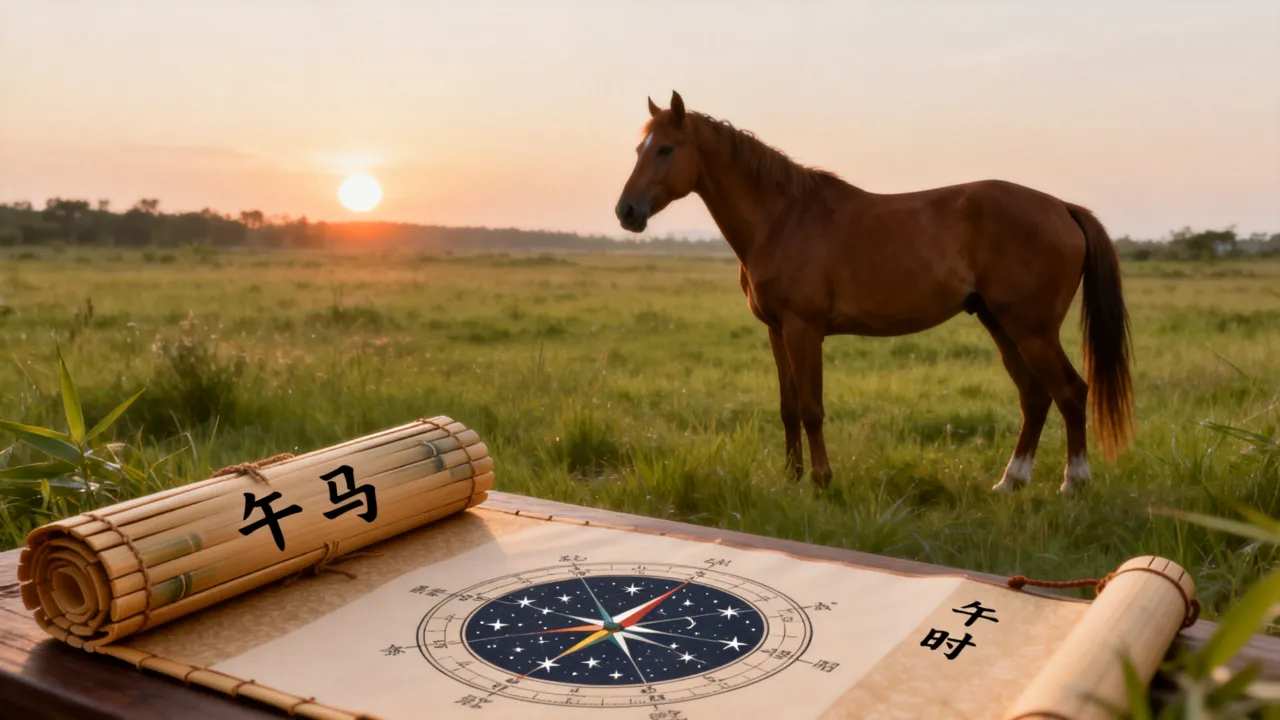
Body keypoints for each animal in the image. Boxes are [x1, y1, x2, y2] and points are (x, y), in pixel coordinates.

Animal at [613, 90, 1133, 494]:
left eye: (666, 149)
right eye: (639, 148)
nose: (626, 211)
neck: (783, 218)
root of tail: (1062, 208)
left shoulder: (804, 330)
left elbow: (812, 408)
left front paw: (822, 481)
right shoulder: (777, 332)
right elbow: (787, 408)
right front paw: (791, 478)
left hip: (1032, 330)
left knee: (1070, 392)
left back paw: (1073, 483)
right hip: (1002, 325)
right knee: (1035, 397)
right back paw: (1010, 482)